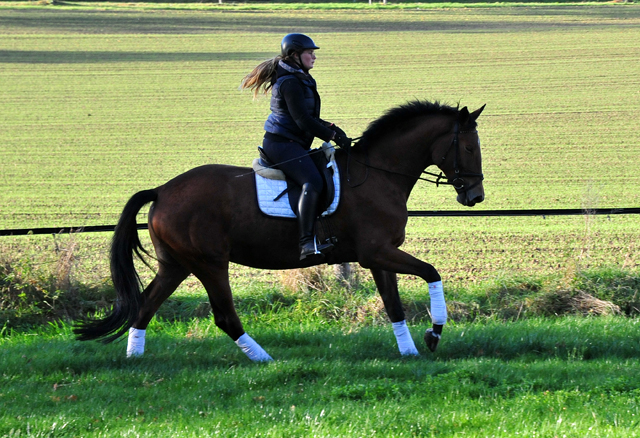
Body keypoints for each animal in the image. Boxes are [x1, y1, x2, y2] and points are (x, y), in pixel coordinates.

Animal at [74, 101, 484, 362]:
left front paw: (410, 351)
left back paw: (134, 360)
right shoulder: (377, 252)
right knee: (223, 316)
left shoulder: (378, 256)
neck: (379, 173)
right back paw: (265, 359)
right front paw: (434, 333)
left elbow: (394, 305)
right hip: (209, 263)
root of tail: (161, 190)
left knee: (145, 306)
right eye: (467, 147)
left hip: (176, 264)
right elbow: (432, 273)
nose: (475, 195)